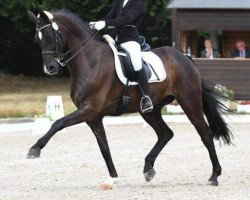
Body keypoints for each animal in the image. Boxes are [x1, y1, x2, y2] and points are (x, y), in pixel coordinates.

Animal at [27, 9, 232, 187]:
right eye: (37, 40)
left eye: (50, 36)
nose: (50, 68)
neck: (89, 60)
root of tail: (184, 57)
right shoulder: (93, 117)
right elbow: (104, 148)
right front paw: (113, 178)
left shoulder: (89, 109)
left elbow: (58, 123)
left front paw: (35, 149)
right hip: (150, 110)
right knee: (165, 134)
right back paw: (148, 169)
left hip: (189, 102)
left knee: (205, 134)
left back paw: (214, 176)